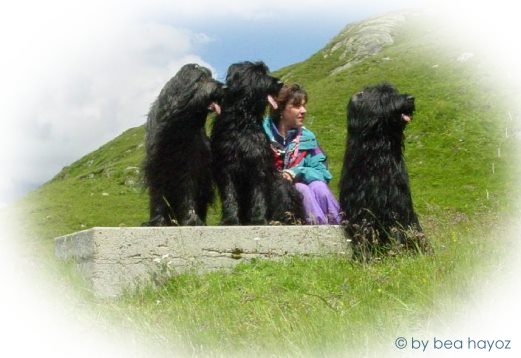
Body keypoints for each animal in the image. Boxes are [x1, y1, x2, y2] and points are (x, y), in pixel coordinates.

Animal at [143, 63, 222, 227]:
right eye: (201, 78)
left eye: (210, 76)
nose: (222, 87)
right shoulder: (156, 166)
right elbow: (158, 194)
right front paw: (157, 220)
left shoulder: (190, 166)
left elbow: (188, 192)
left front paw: (191, 219)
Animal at [210, 61, 304, 224]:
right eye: (258, 73)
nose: (280, 83)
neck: (243, 121)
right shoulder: (225, 166)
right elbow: (229, 194)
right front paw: (230, 219)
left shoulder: (257, 164)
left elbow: (258, 194)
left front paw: (259, 219)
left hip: (282, 184)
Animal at [338, 83, 426, 256]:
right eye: (385, 95)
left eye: (395, 91)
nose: (411, 98)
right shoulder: (360, 208)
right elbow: (363, 232)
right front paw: (364, 256)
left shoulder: (397, 203)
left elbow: (398, 228)